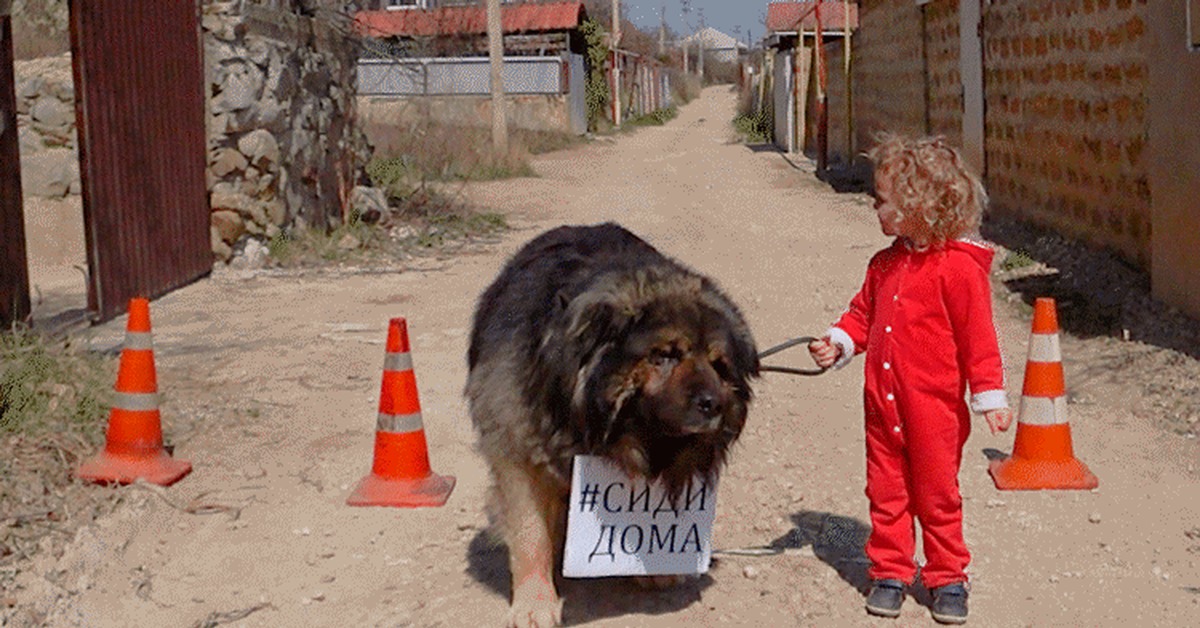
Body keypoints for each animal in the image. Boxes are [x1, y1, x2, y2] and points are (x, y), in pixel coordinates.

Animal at [463, 223, 753, 624]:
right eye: (664, 355)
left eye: (718, 364)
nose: (714, 405)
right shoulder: (516, 447)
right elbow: (530, 532)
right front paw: (534, 604)